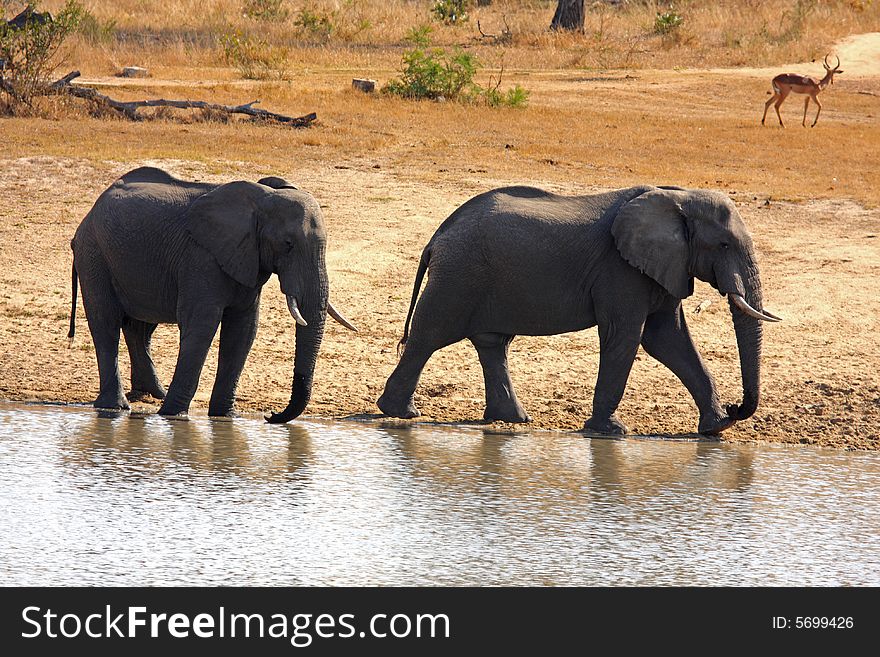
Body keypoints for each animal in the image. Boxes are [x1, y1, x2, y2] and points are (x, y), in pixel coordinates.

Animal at [69, 164, 356, 420]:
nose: (271, 416)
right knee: (105, 322)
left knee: (140, 327)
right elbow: (202, 327)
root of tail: (90, 212)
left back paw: (152, 394)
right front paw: (173, 416)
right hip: (94, 253)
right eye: (287, 244)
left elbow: (243, 331)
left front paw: (226, 416)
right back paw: (116, 407)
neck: (262, 200)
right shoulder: (201, 258)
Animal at [374, 183, 780, 436]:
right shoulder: (620, 269)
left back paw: (513, 420)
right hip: (458, 276)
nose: (737, 407)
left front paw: (717, 428)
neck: (677, 196)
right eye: (723, 245)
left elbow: (669, 339)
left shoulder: (664, 267)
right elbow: (628, 337)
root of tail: (437, 235)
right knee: (429, 336)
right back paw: (401, 413)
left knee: (491, 344)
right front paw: (611, 431)